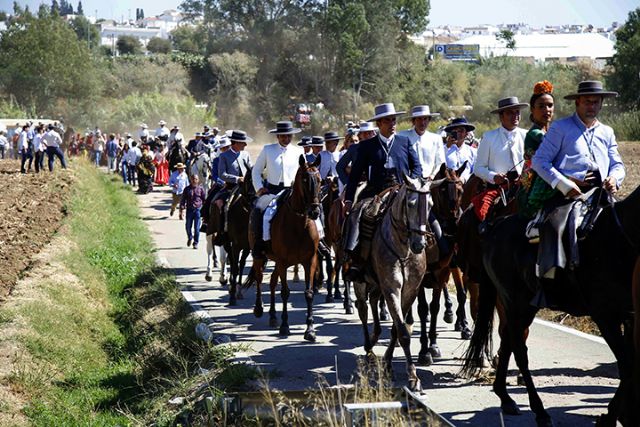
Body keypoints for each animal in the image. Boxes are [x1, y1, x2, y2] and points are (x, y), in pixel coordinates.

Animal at [248, 155, 322, 342]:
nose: (314, 212)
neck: (299, 224)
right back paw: (259, 309)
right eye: (304, 180)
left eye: (320, 180)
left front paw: (310, 330)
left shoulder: (310, 261)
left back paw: (273, 316)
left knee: (272, 282)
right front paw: (285, 326)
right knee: (260, 278)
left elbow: (308, 293)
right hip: (260, 257)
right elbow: (285, 292)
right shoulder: (283, 261)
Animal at [460, 188, 640, 427]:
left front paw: (623, 415)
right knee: (519, 350)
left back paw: (505, 398)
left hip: (518, 307)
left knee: (508, 341)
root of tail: (496, 226)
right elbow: (627, 365)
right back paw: (540, 412)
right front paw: (610, 417)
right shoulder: (606, 317)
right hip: (517, 304)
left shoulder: (630, 316)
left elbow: (632, 363)